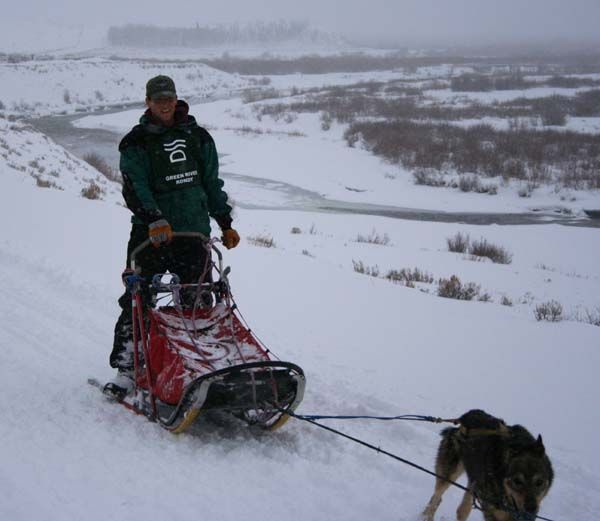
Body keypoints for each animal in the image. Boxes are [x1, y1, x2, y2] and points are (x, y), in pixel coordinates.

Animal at [422, 410, 552, 520]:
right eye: (517, 481)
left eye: (539, 482)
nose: (531, 510)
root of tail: (462, 421)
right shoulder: (492, 512)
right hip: (448, 475)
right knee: (436, 498)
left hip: (473, 481)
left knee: (461, 510)